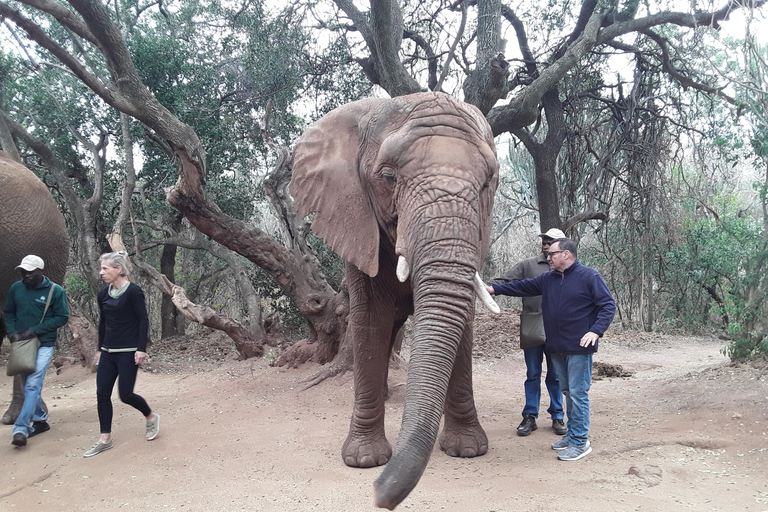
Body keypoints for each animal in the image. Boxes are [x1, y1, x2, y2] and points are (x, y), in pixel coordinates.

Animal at [290, 92, 500, 509]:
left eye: (487, 183)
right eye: (388, 177)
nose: (379, 494)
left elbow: (461, 322)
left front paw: (467, 450)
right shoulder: (356, 222)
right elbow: (370, 320)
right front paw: (364, 460)